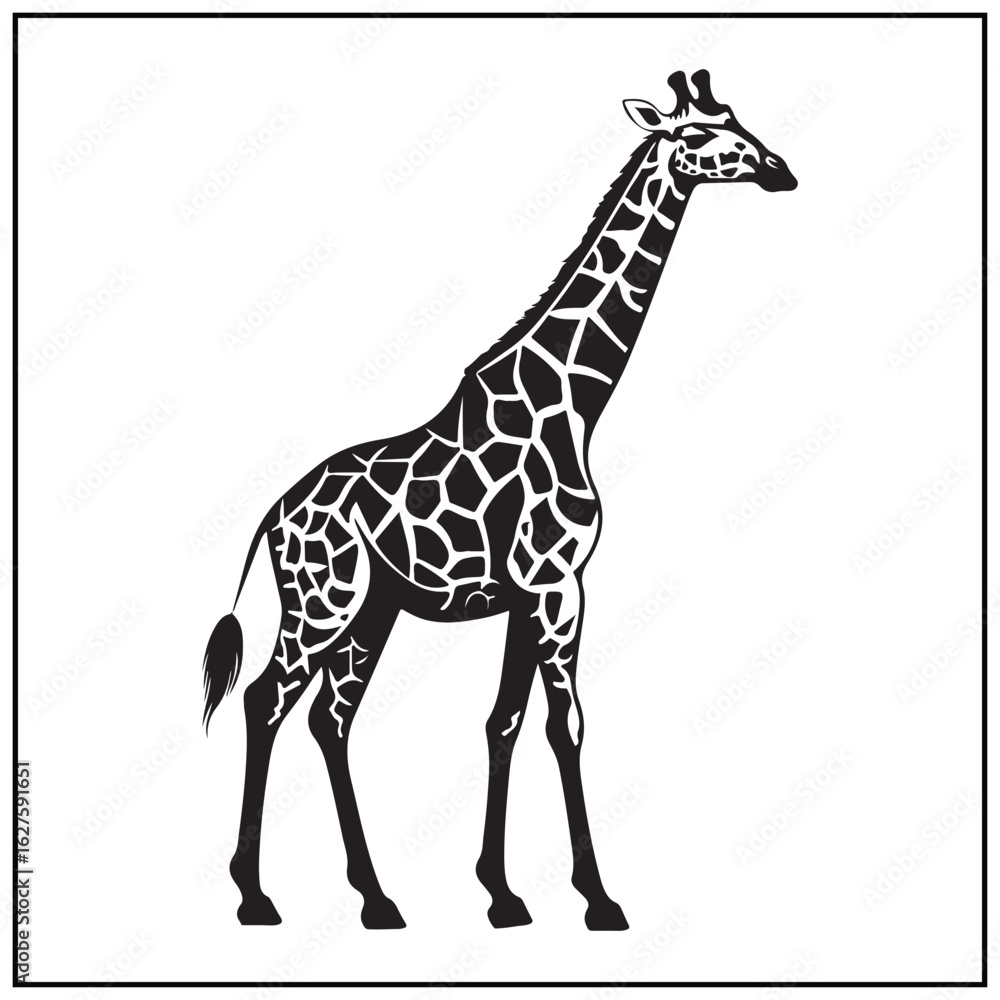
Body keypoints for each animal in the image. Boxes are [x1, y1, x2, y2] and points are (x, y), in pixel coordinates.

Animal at [202, 69, 796, 931]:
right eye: (694, 135)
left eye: (739, 121)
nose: (780, 170)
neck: (575, 400)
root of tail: (271, 518)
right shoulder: (557, 585)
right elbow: (564, 724)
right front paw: (598, 898)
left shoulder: (530, 591)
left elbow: (504, 721)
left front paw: (503, 892)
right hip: (325, 602)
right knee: (265, 699)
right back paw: (254, 896)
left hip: (372, 610)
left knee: (329, 717)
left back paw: (376, 898)